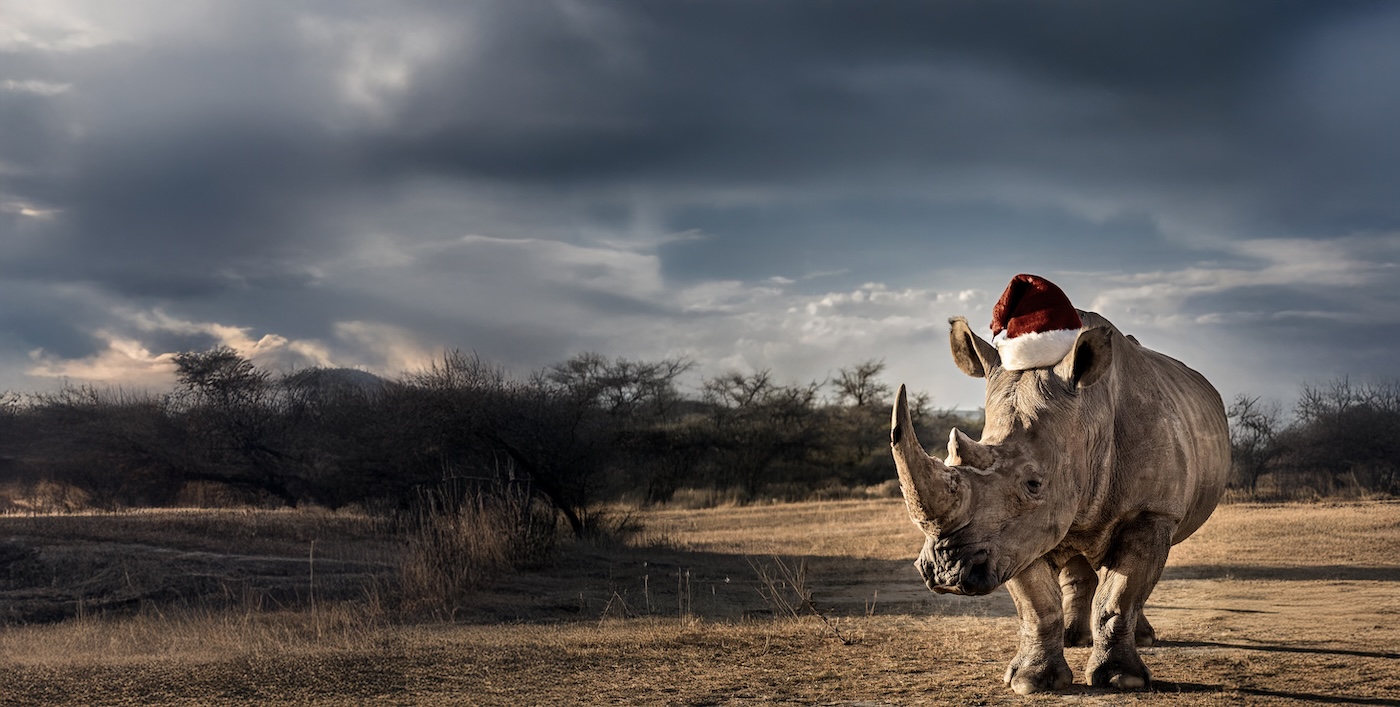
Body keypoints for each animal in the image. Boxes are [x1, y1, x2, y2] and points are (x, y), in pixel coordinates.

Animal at [890, 304, 1229, 693]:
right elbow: (1036, 604)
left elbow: (1121, 595)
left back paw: (1141, 639)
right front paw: (1032, 682)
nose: (945, 572)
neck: (1088, 419)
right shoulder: (1014, 536)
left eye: (1034, 483)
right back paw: (1073, 638)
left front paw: (1122, 680)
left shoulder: (1152, 511)